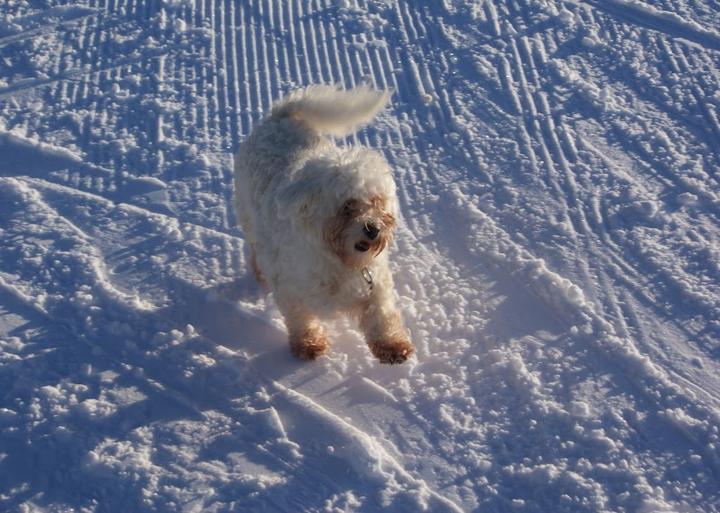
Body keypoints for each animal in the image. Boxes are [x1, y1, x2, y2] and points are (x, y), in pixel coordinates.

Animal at [233, 85, 414, 364]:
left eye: (376, 201)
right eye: (347, 206)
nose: (373, 229)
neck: (339, 261)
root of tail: (280, 115)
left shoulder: (375, 283)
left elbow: (381, 314)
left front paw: (392, 346)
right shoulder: (289, 290)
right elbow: (300, 318)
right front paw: (308, 344)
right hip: (248, 216)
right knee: (254, 247)